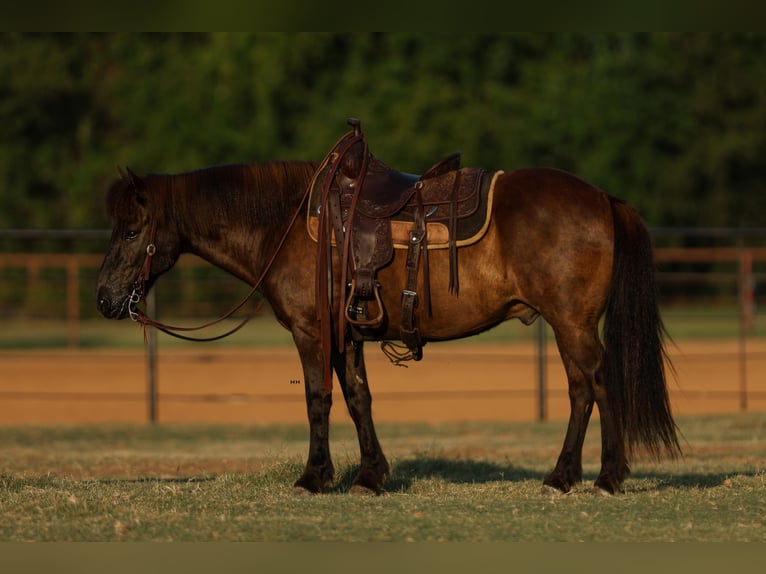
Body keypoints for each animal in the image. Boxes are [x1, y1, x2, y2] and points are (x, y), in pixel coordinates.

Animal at [97, 156, 684, 496]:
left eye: (130, 231)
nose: (104, 298)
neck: (289, 224)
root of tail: (602, 198)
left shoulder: (312, 334)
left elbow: (318, 399)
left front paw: (314, 477)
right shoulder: (346, 336)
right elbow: (358, 398)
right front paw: (369, 476)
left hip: (572, 323)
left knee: (596, 386)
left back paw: (602, 478)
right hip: (568, 326)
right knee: (582, 391)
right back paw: (567, 477)